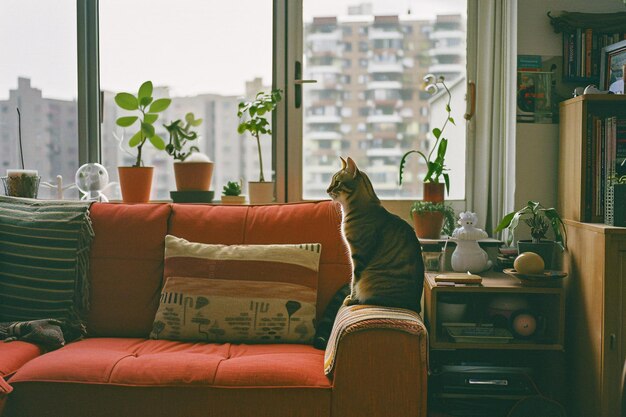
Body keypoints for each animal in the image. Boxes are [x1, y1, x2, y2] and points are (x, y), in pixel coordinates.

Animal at [324, 156, 422, 312]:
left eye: (337, 182)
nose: (327, 189)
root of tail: (415, 306)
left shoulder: (358, 255)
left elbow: (354, 280)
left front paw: (352, 299)